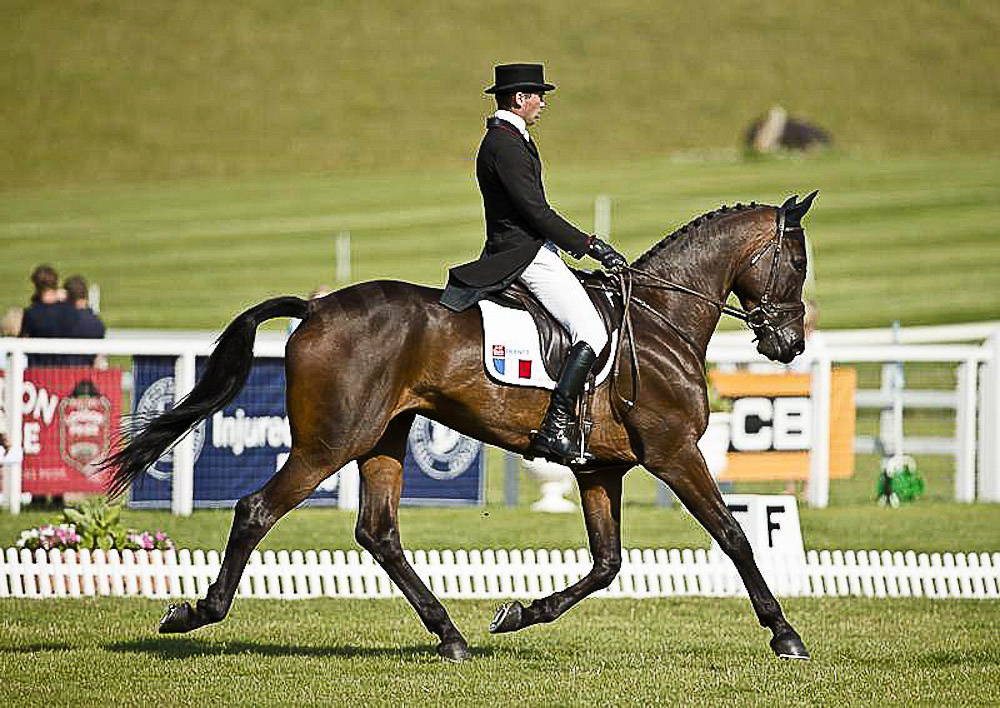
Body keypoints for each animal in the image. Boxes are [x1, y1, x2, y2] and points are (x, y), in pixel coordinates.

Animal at [105, 191, 816, 660]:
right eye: (799, 264)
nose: (789, 345)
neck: (659, 320)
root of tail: (316, 307)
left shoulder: (599, 467)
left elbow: (607, 564)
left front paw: (519, 613)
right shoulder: (673, 451)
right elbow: (734, 536)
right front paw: (785, 634)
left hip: (383, 440)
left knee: (379, 533)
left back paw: (452, 637)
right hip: (330, 443)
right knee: (256, 510)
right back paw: (195, 613)